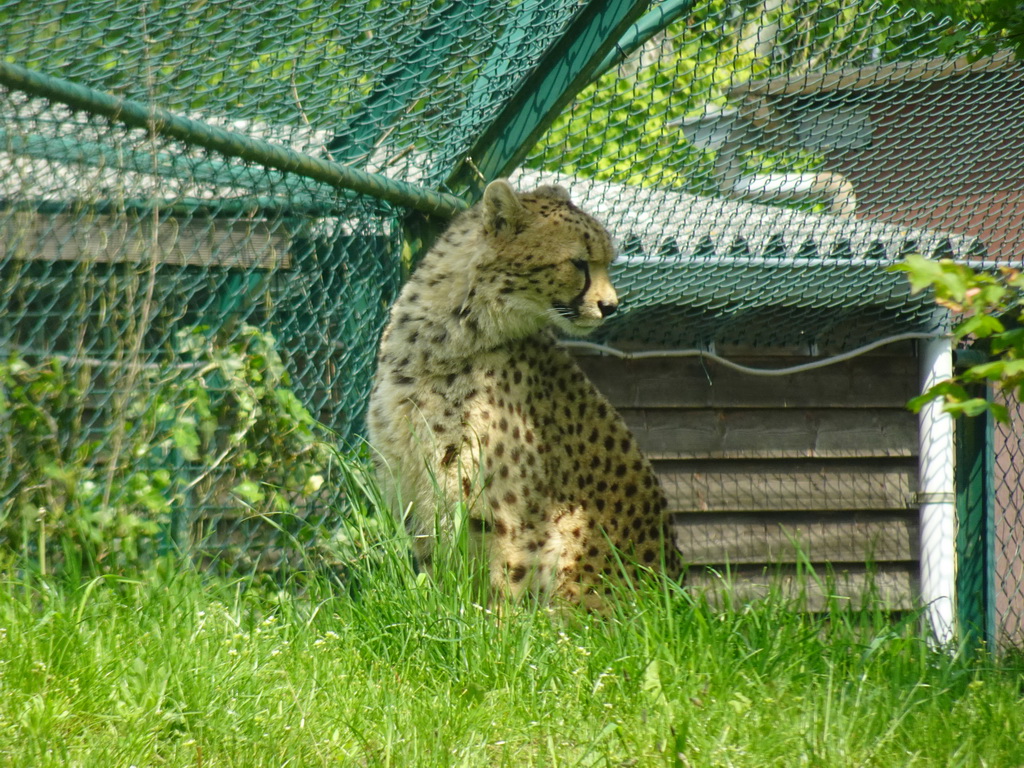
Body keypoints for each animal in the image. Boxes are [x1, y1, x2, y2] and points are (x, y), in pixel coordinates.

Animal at [366, 179, 679, 606]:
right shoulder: (413, 482)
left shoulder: (508, 509)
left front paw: (498, 625)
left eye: (606, 262)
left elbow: (507, 578)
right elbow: (436, 576)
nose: (611, 306)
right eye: (579, 263)